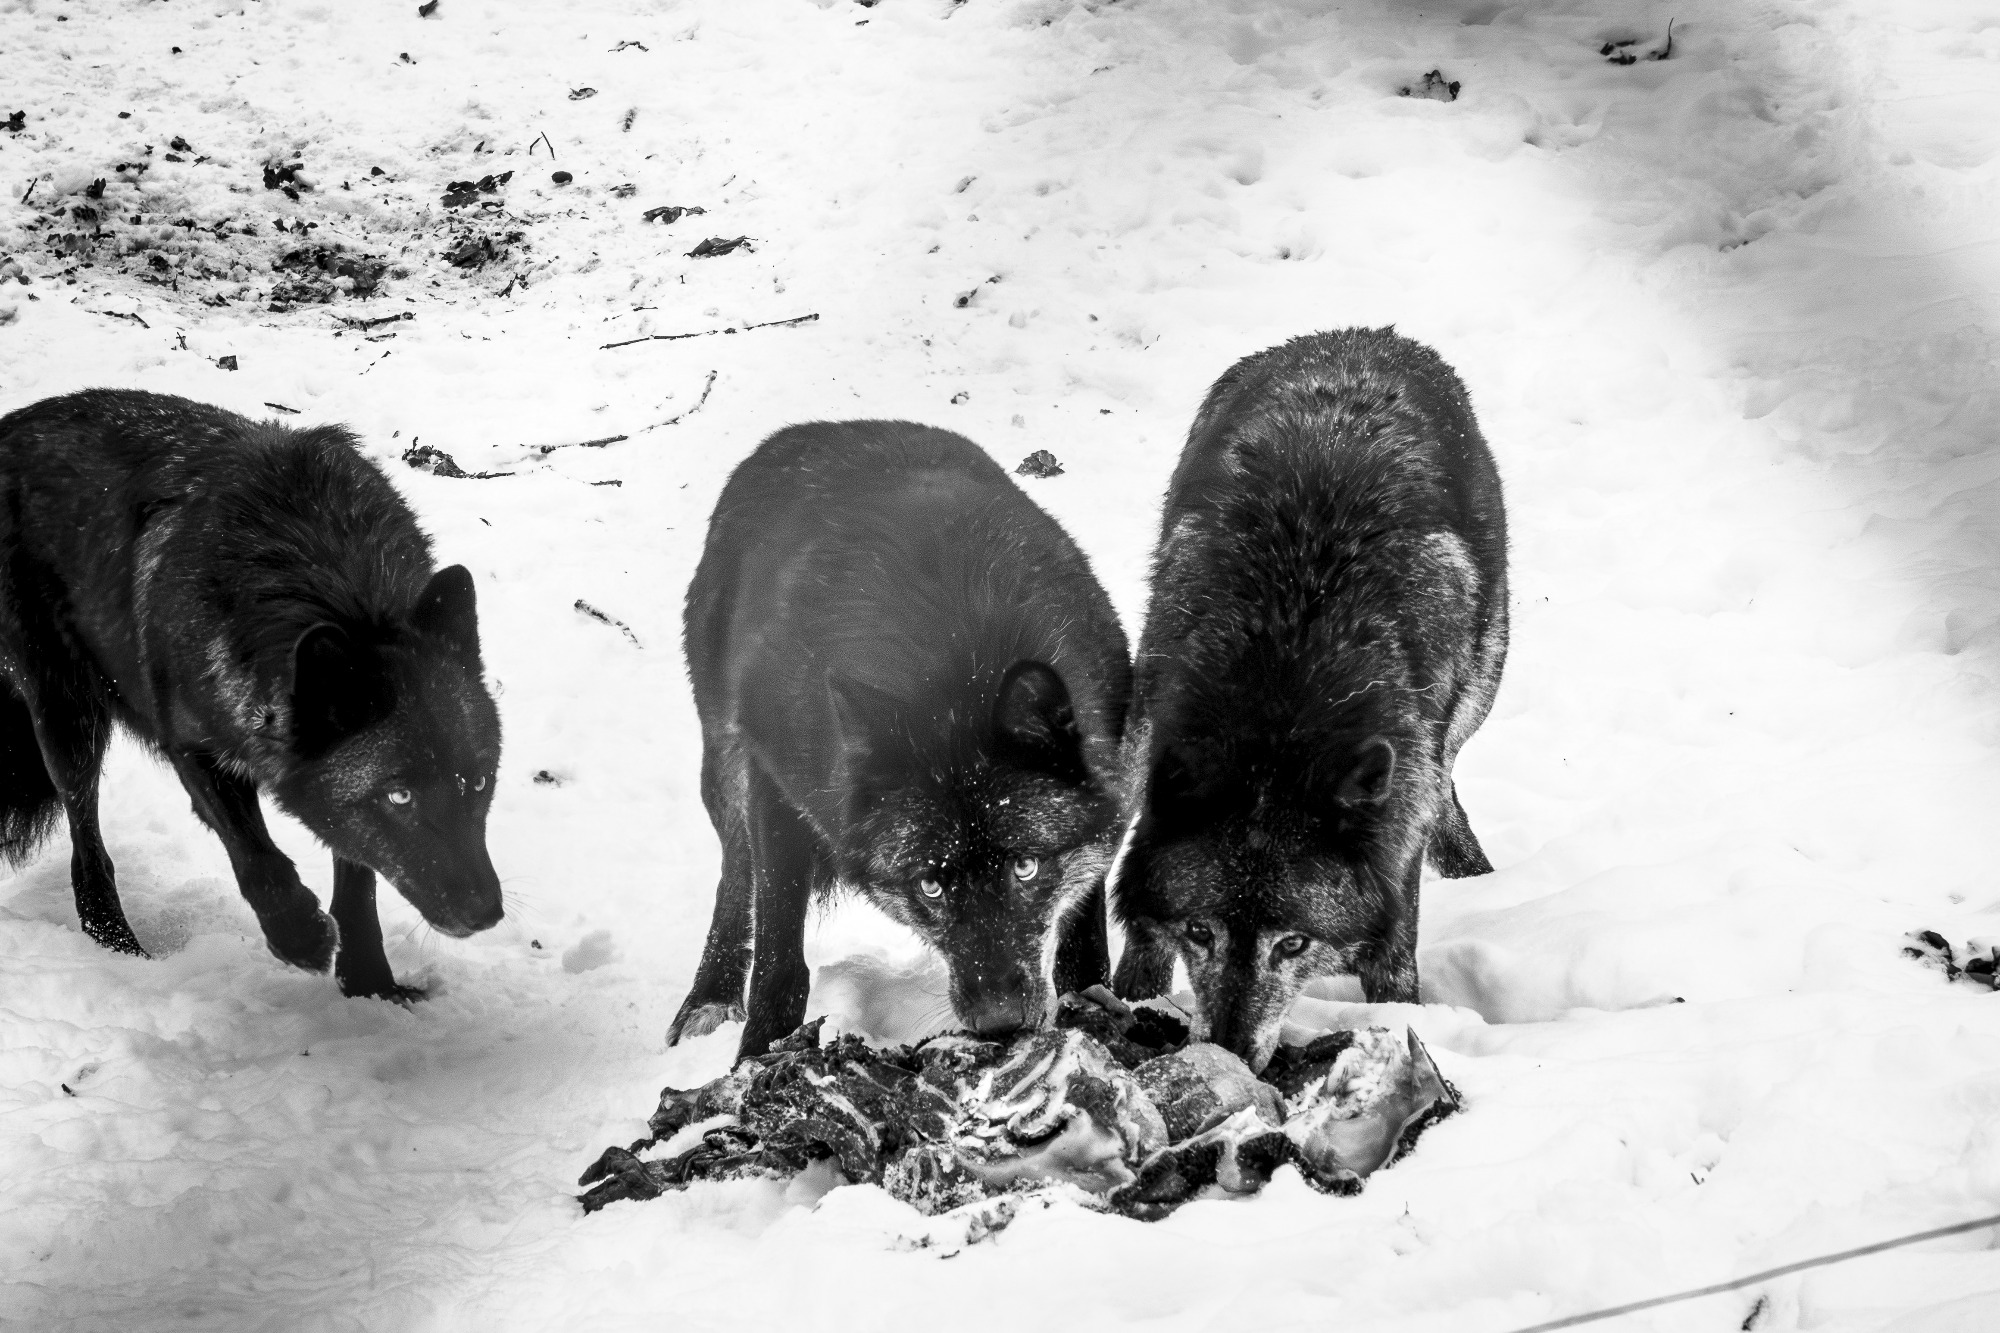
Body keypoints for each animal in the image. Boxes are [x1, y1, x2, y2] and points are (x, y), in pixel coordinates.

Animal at [0, 390, 503, 999]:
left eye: (479, 783)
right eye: (399, 797)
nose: (486, 912)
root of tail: (8, 425)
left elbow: (357, 877)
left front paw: (369, 984)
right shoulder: (192, 748)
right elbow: (257, 856)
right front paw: (299, 935)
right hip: (68, 722)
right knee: (86, 840)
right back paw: (117, 944)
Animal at [670, 420, 1132, 1060]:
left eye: (1027, 867)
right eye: (930, 886)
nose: (1002, 1024)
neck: (959, 664)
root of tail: (805, 434)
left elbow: (1082, 946)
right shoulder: (774, 783)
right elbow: (779, 958)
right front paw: (756, 1055)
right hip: (726, 764)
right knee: (736, 874)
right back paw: (708, 998)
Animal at [1111, 328, 1508, 1071]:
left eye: (1292, 943)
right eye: (1200, 932)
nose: (1231, 1053)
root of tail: (1362, 335)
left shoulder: (1398, 827)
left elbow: (1394, 959)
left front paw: (1405, 1024)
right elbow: (1143, 931)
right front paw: (1124, 999)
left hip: (1470, 701)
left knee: (1446, 784)